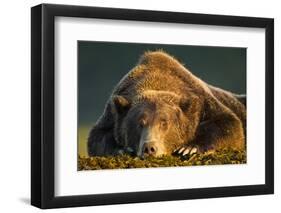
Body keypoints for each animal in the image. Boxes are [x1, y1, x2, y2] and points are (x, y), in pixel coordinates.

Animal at [87, 50, 245, 158]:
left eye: (164, 123)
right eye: (140, 123)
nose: (150, 148)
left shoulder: (203, 102)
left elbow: (229, 124)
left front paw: (189, 148)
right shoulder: (112, 113)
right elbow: (97, 136)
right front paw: (123, 149)